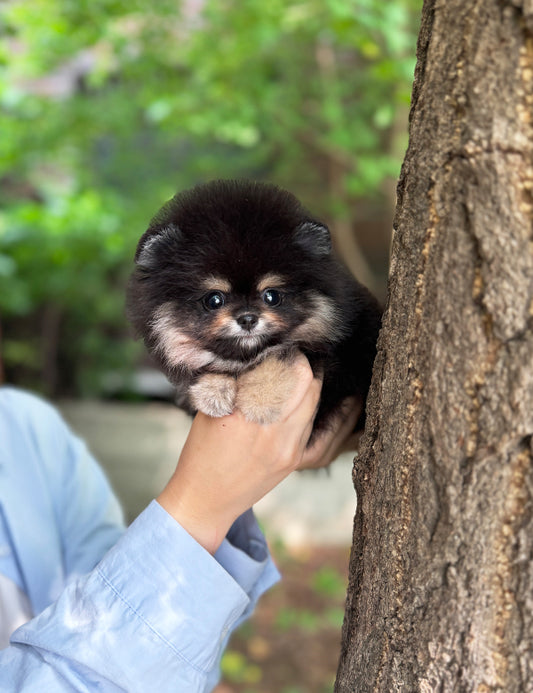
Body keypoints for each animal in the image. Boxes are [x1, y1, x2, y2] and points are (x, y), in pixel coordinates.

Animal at [127, 180, 380, 438]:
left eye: (272, 296)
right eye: (214, 300)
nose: (248, 318)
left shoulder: (335, 357)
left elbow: (280, 355)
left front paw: (260, 400)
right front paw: (213, 392)